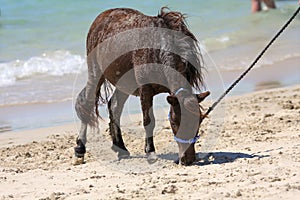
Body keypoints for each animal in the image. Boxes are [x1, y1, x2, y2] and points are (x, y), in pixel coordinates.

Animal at [74, 7, 210, 165]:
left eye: (199, 121)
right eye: (174, 123)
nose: (188, 159)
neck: (158, 49)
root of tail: (102, 16)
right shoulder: (145, 90)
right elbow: (148, 121)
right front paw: (150, 152)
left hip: (124, 84)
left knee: (114, 107)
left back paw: (121, 148)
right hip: (96, 73)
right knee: (88, 104)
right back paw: (80, 149)